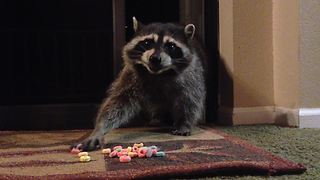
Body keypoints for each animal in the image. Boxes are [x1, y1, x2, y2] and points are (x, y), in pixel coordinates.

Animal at [72, 17, 208, 150]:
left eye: (171, 46)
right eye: (147, 43)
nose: (155, 58)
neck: (159, 74)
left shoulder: (191, 76)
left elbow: (190, 101)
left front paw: (184, 122)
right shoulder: (131, 76)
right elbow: (117, 103)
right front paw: (99, 129)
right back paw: (158, 118)